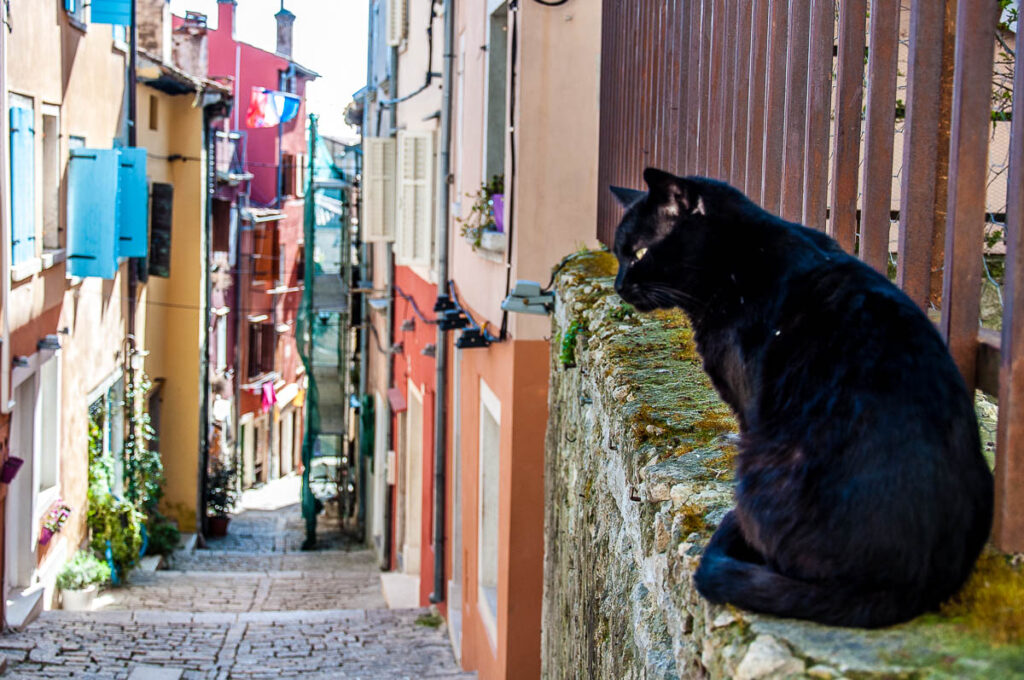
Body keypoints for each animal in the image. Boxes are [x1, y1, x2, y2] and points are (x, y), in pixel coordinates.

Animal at [606, 168, 991, 626]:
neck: (735, 260)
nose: (618, 285)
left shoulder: (748, 402)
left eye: (640, 252)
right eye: (619, 255)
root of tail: (908, 584)